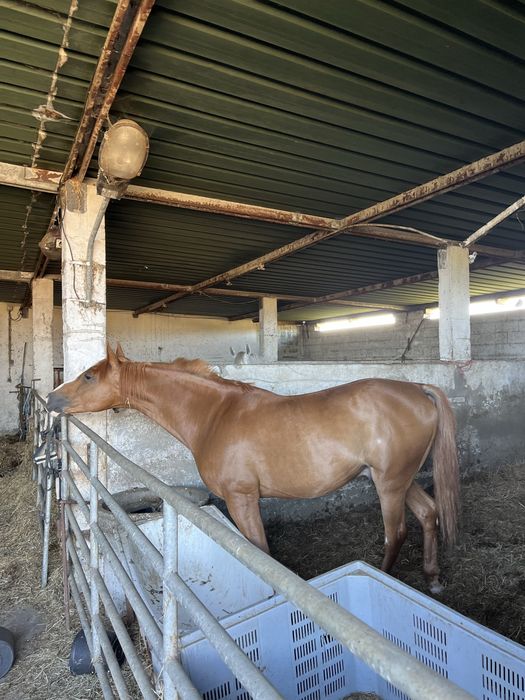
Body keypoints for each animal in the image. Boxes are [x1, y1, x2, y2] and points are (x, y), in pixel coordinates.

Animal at [47, 343, 460, 593]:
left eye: (89, 375)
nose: (51, 399)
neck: (214, 414)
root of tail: (418, 389)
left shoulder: (241, 498)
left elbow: (261, 553)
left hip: (390, 483)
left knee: (397, 533)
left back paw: (385, 577)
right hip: (400, 480)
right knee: (429, 513)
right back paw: (434, 580)